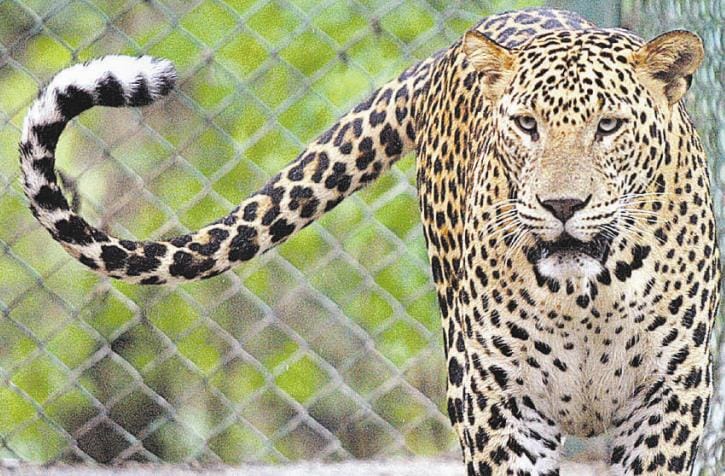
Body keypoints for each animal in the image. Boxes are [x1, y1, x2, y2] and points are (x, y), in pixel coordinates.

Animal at [19, 7, 719, 476]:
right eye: (526, 125)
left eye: (609, 127)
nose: (562, 206)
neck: (587, 297)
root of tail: (451, 53)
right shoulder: (497, 406)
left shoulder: (670, 401)